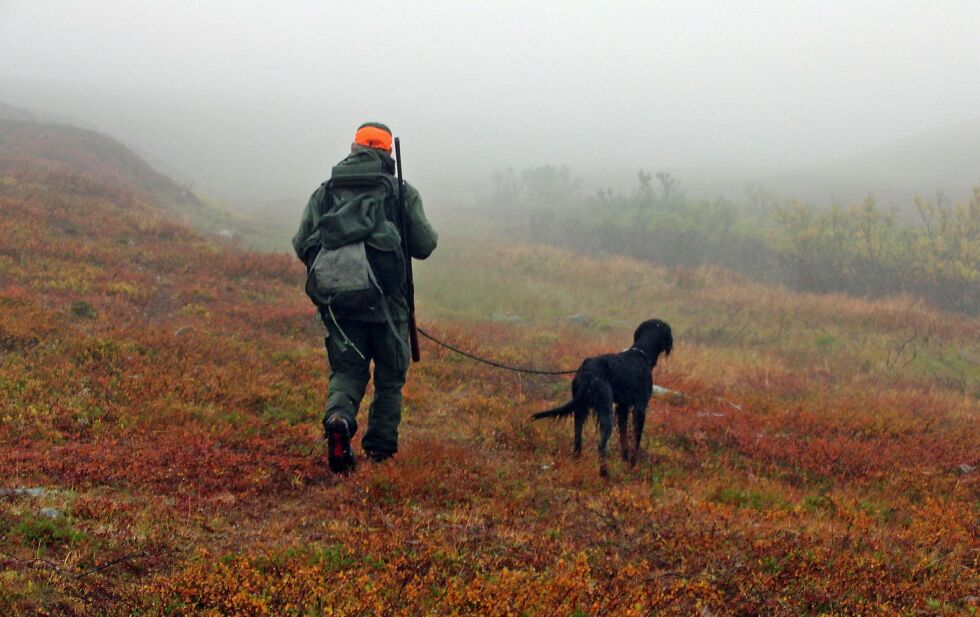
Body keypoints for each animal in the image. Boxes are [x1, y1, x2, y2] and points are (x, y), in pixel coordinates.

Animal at [532, 320, 668, 474]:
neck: (641, 353)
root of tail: (588, 371)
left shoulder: (622, 407)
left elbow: (624, 437)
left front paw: (625, 460)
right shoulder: (640, 407)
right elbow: (635, 439)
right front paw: (633, 464)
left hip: (580, 409)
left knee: (577, 439)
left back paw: (578, 462)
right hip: (605, 410)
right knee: (601, 446)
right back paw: (605, 473)